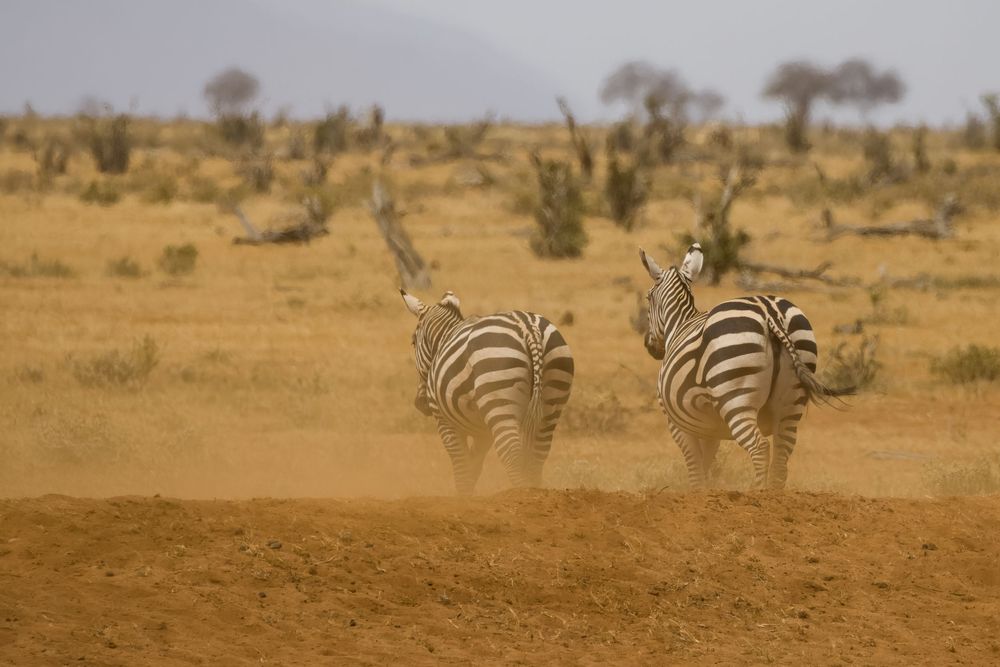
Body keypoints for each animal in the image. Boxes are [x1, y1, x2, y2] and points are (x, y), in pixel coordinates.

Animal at [399, 290, 574, 495]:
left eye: (413, 342)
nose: (420, 403)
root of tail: (528, 327)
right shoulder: (482, 431)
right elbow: (473, 466)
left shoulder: (444, 420)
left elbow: (461, 466)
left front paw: (463, 498)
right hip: (552, 400)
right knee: (537, 457)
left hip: (500, 401)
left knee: (512, 455)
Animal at [639, 243, 851, 489]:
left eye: (648, 297)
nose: (650, 346)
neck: (681, 322)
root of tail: (769, 312)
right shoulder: (709, 428)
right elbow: (706, 464)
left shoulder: (677, 424)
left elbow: (695, 470)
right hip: (791, 402)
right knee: (781, 458)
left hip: (735, 398)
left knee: (759, 448)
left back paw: (757, 493)